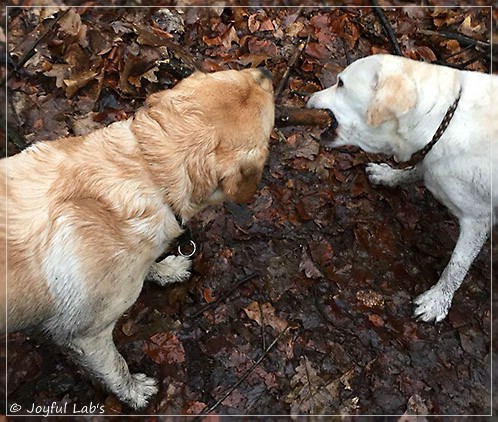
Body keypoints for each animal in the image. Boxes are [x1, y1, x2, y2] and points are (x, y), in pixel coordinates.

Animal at [0, 68, 274, 408]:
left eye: (234, 72)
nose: (265, 71)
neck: (149, 168)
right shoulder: (86, 336)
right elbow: (115, 367)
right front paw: (133, 392)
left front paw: (166, 269)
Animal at [308, 54, 494, 322]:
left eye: (341, 83)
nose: (308, 99)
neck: (443, 121)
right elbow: (416, 169)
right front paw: (389, 176)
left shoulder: (478, 217)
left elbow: (457, 265)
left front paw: (437, 301)